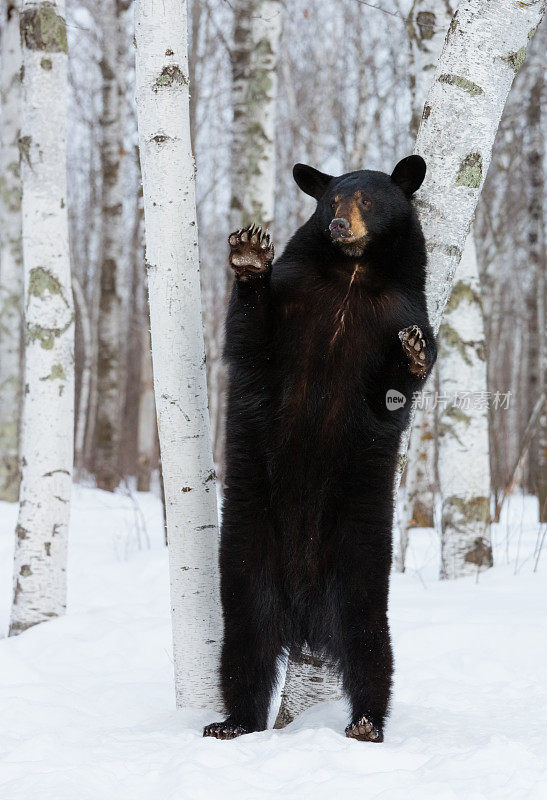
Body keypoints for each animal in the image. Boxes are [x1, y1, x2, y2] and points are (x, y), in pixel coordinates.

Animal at [203, 155, 438, 744]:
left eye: (369, 201)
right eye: (331, 200)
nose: (338, 226)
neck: (351, 277)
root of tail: (305, 614)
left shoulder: (401, 307)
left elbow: (392, 388)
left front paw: (415, 351)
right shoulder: (295, 297)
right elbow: (251, 338)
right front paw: (248, 254)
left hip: (360, 556)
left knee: (370, 646)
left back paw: (367, 723)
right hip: (249, 547)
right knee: (246, 646)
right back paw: (233, 723)